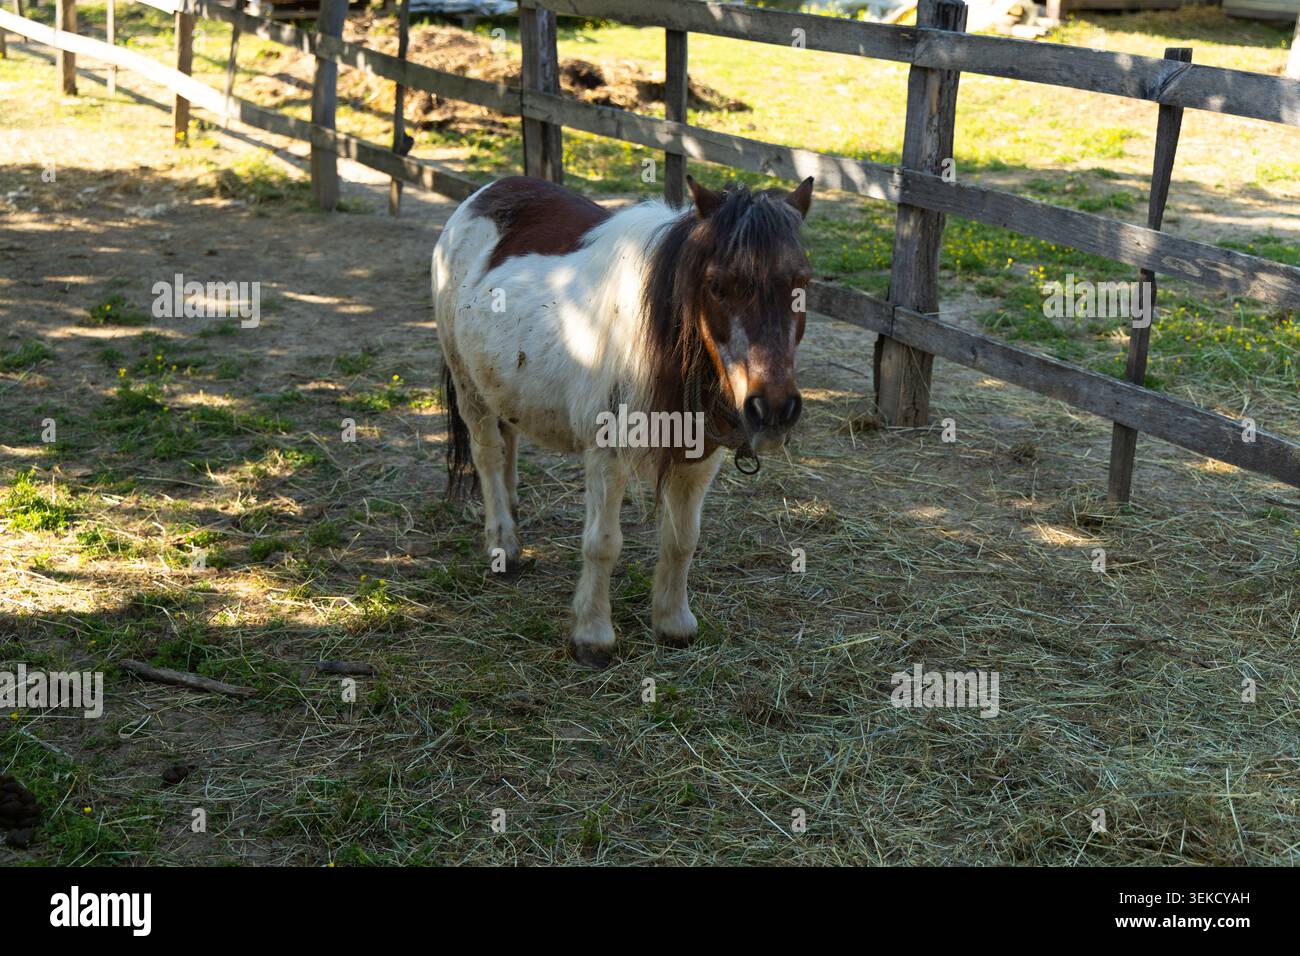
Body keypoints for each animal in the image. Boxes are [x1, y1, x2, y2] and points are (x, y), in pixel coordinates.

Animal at [432, 173, 814, 666]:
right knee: (488, 455)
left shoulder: (699, 459)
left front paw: (673, 623)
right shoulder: (606, 456)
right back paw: (503, 544)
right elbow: (603, 544)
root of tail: (485, 193)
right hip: (468, 385)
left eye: (801, 282)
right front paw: (593, 635)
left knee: (509, 437)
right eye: (716, 285)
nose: (774, 410)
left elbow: (682, 539)